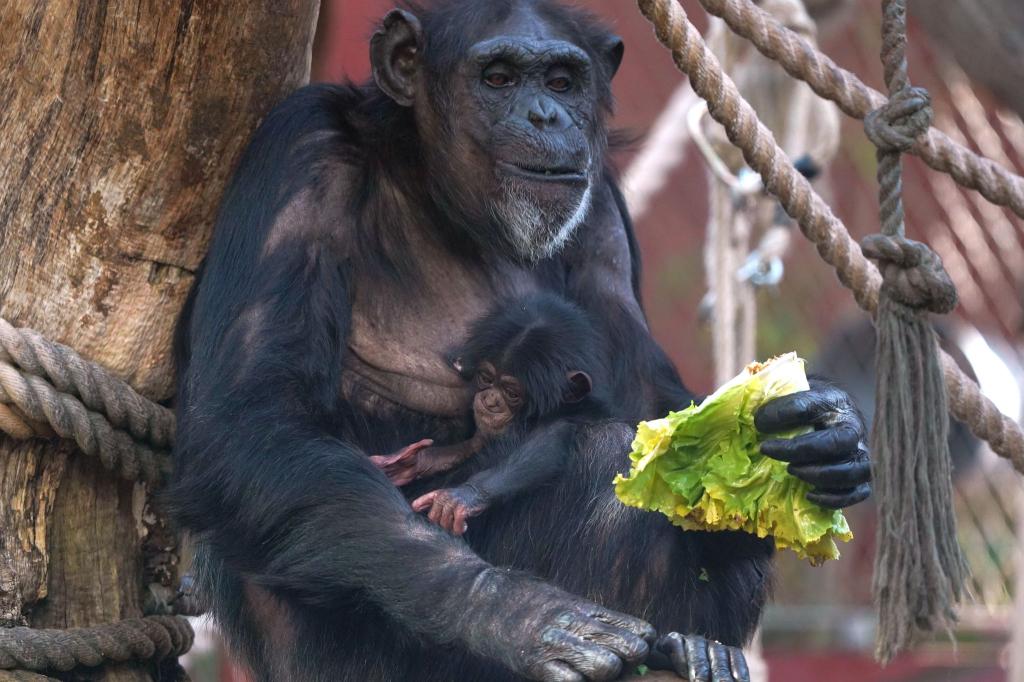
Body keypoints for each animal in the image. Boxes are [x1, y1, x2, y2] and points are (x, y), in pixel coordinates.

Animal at [370, 290, 602, 532]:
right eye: (486, 378)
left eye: (512, 393)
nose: (490, 401)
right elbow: (475, 443)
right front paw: (414, 461)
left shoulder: (568, 417)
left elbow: (546, 444)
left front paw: (464, 497)